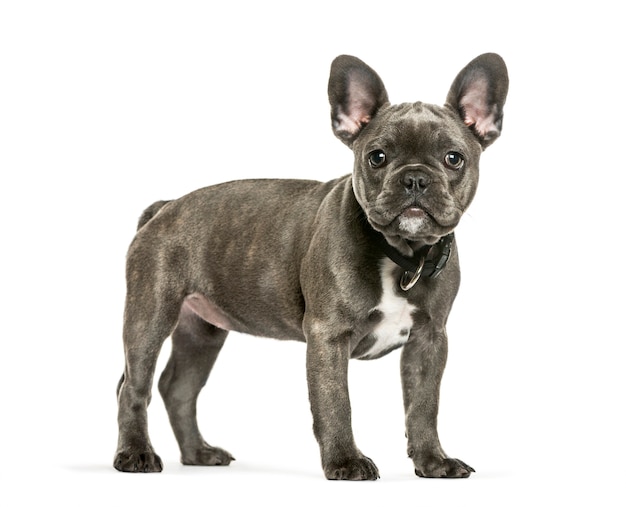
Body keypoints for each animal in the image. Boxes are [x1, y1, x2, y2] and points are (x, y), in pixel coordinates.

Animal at [113, 51, 508, 480]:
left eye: (454, 158)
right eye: (378, 157)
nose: (415, 178)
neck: (402, 254)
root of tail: (164, 207)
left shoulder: (429, 340)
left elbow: (423, 406)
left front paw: (433, 461)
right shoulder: (328, 337)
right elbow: (336, 404)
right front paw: (346, 461)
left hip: (202, 332)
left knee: (179, 388)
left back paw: (198, 453)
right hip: (151, 314)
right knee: (134, 386)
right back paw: (135, 454)